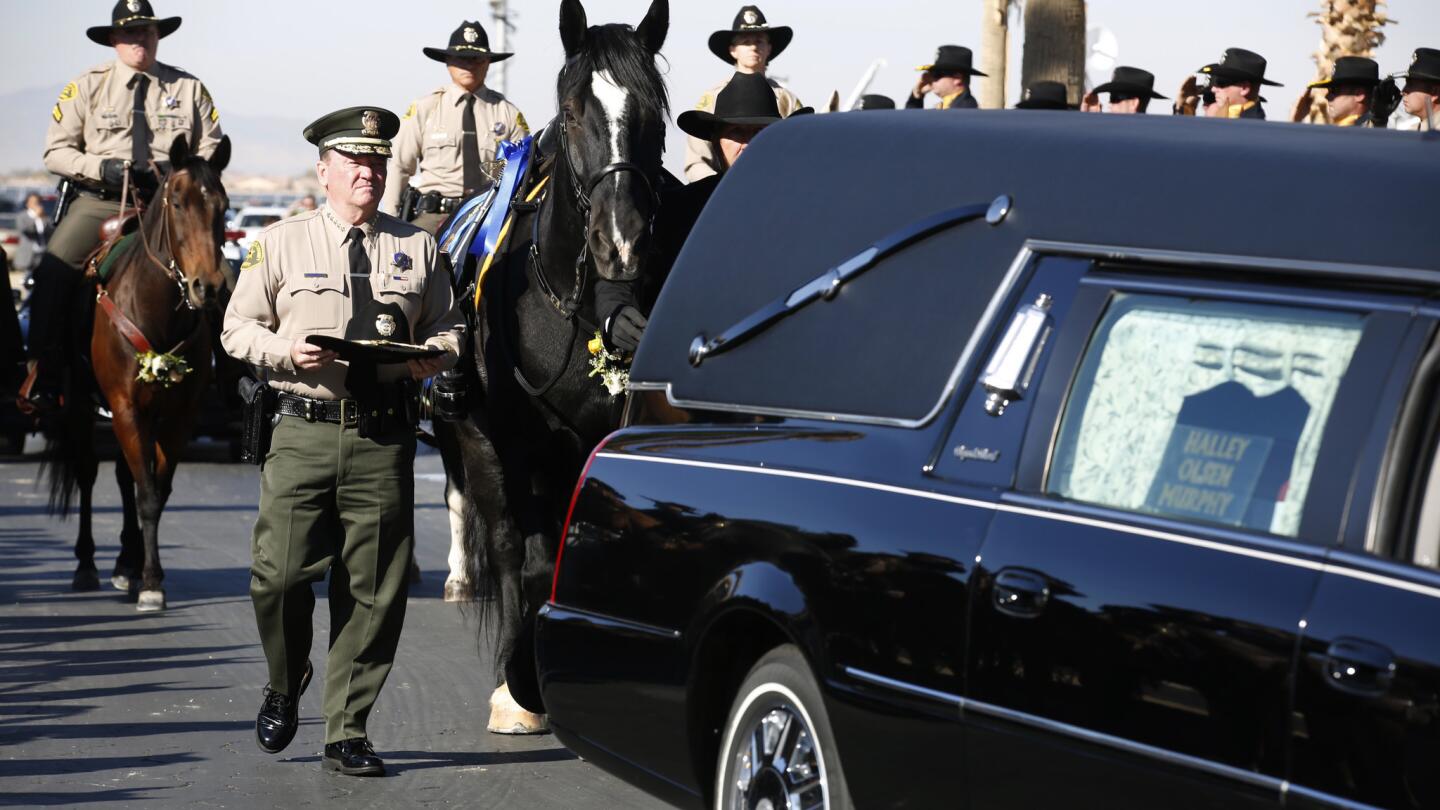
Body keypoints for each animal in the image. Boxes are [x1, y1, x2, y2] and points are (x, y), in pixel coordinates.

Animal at [43, 135, 230, 608]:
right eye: (177, 203)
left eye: (223, 206)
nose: (207, 287)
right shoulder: (125, 406)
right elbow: (144, 492)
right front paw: (150, 584)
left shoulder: (179, 416)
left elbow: (155, 492)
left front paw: (145, 574)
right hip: (81, 405)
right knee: (89, 471)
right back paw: (87, 564)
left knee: (124, 476)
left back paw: (124, 564)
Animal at [446, 0, 671, 732]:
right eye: (572, 111)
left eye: (653, 111)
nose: (621, 241)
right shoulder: (515, 443)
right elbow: (531, 557)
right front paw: (522, 688)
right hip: (485, 443)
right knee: (510, 543)